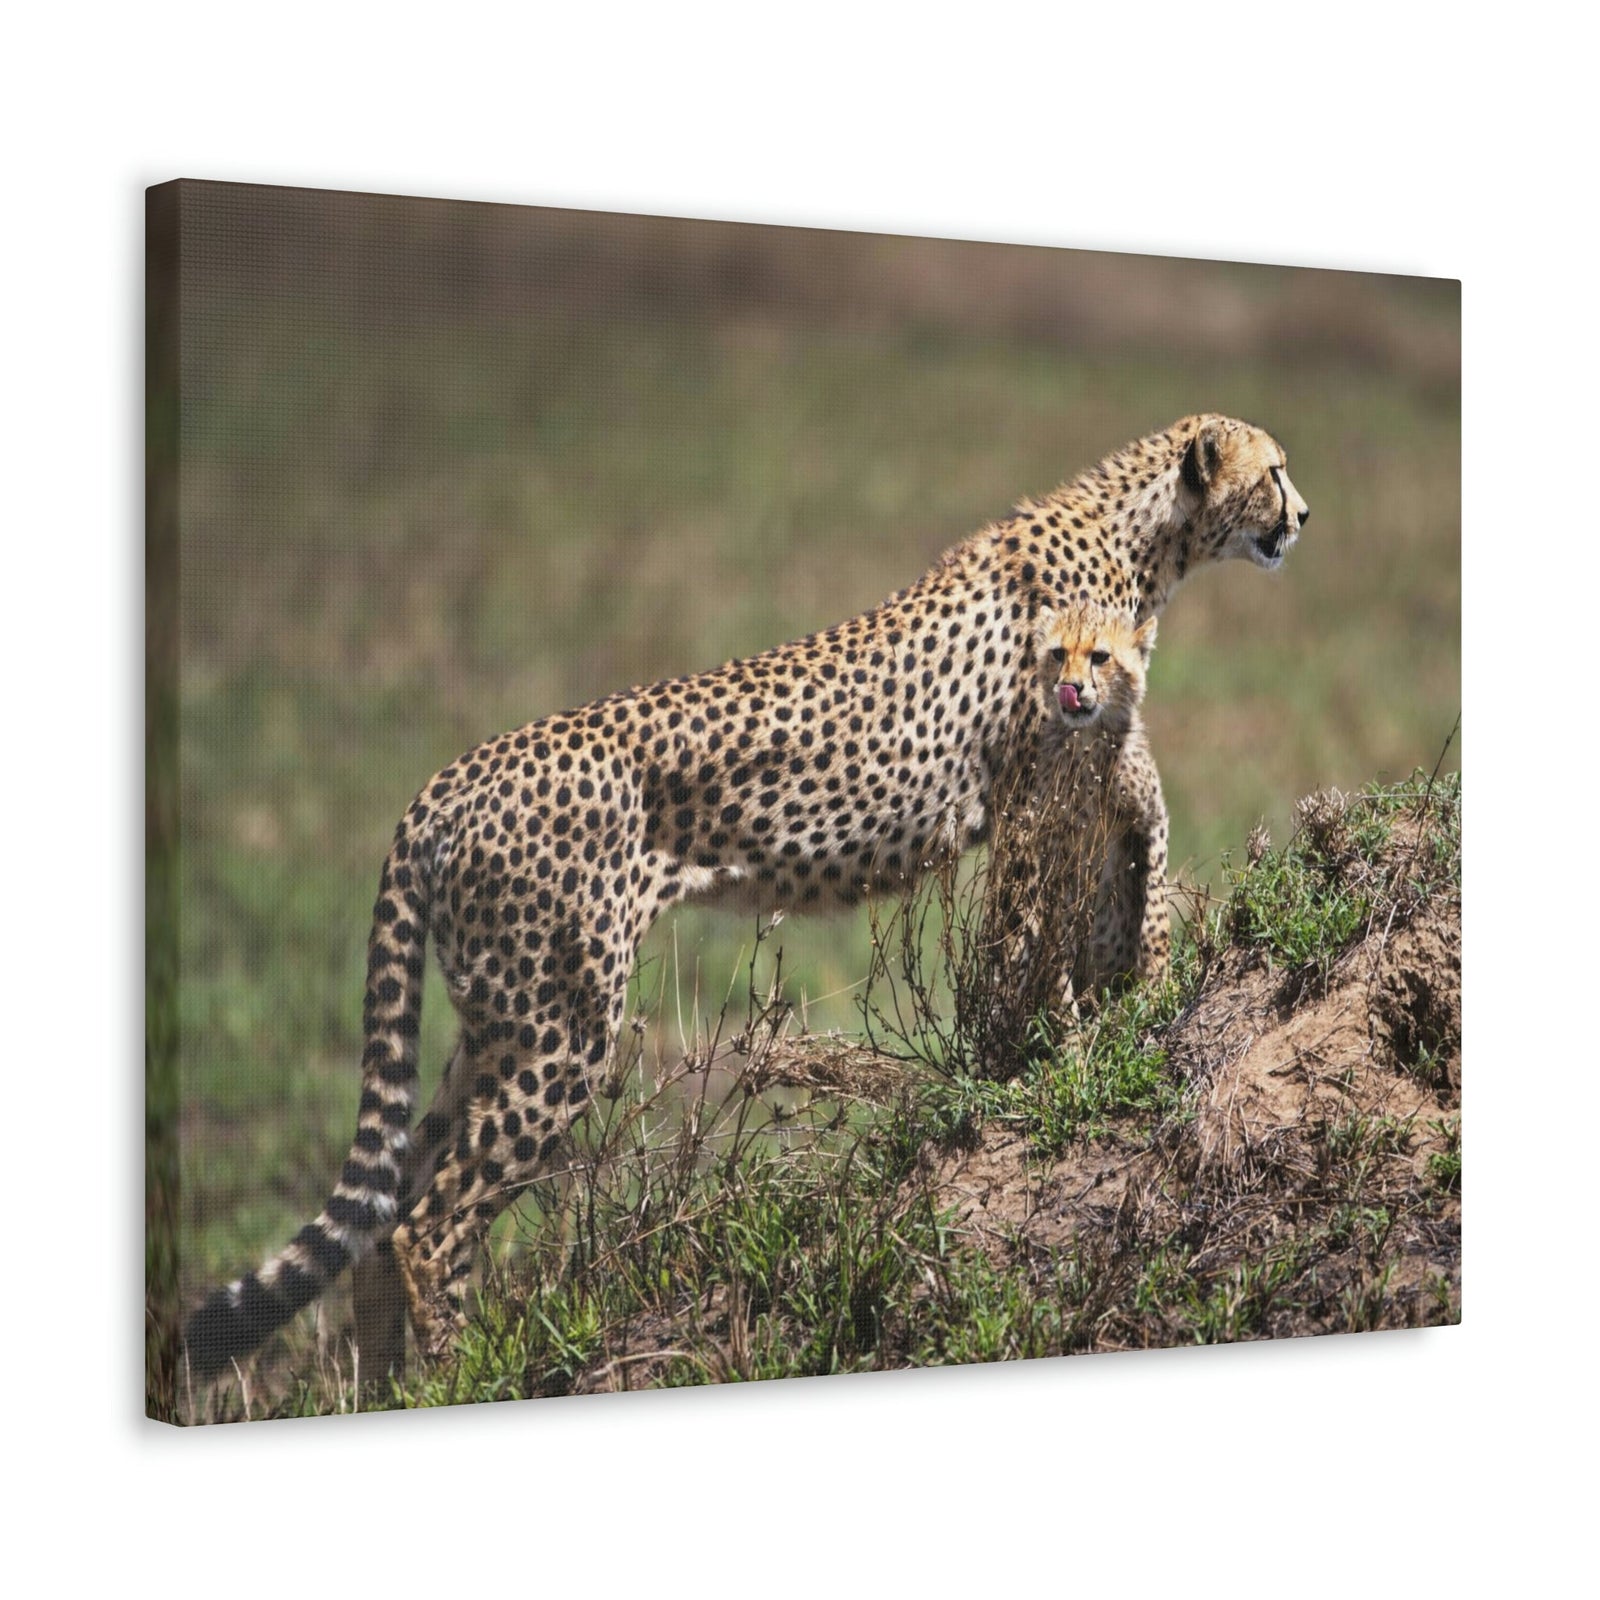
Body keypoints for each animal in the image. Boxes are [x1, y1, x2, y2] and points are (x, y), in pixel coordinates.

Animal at [183, 412, 1310, 1379]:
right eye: (1277, 468)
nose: (1302, 515)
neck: (1142, 536)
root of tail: (448, 779)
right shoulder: (1034, 800)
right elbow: (1030, 945)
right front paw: (1038, 1068)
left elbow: (1106, 890)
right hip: (562, 1025)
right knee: (432, 1219)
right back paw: (462, 1375)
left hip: (500, 1018)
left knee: (394, 1200)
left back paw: (387, 1387)